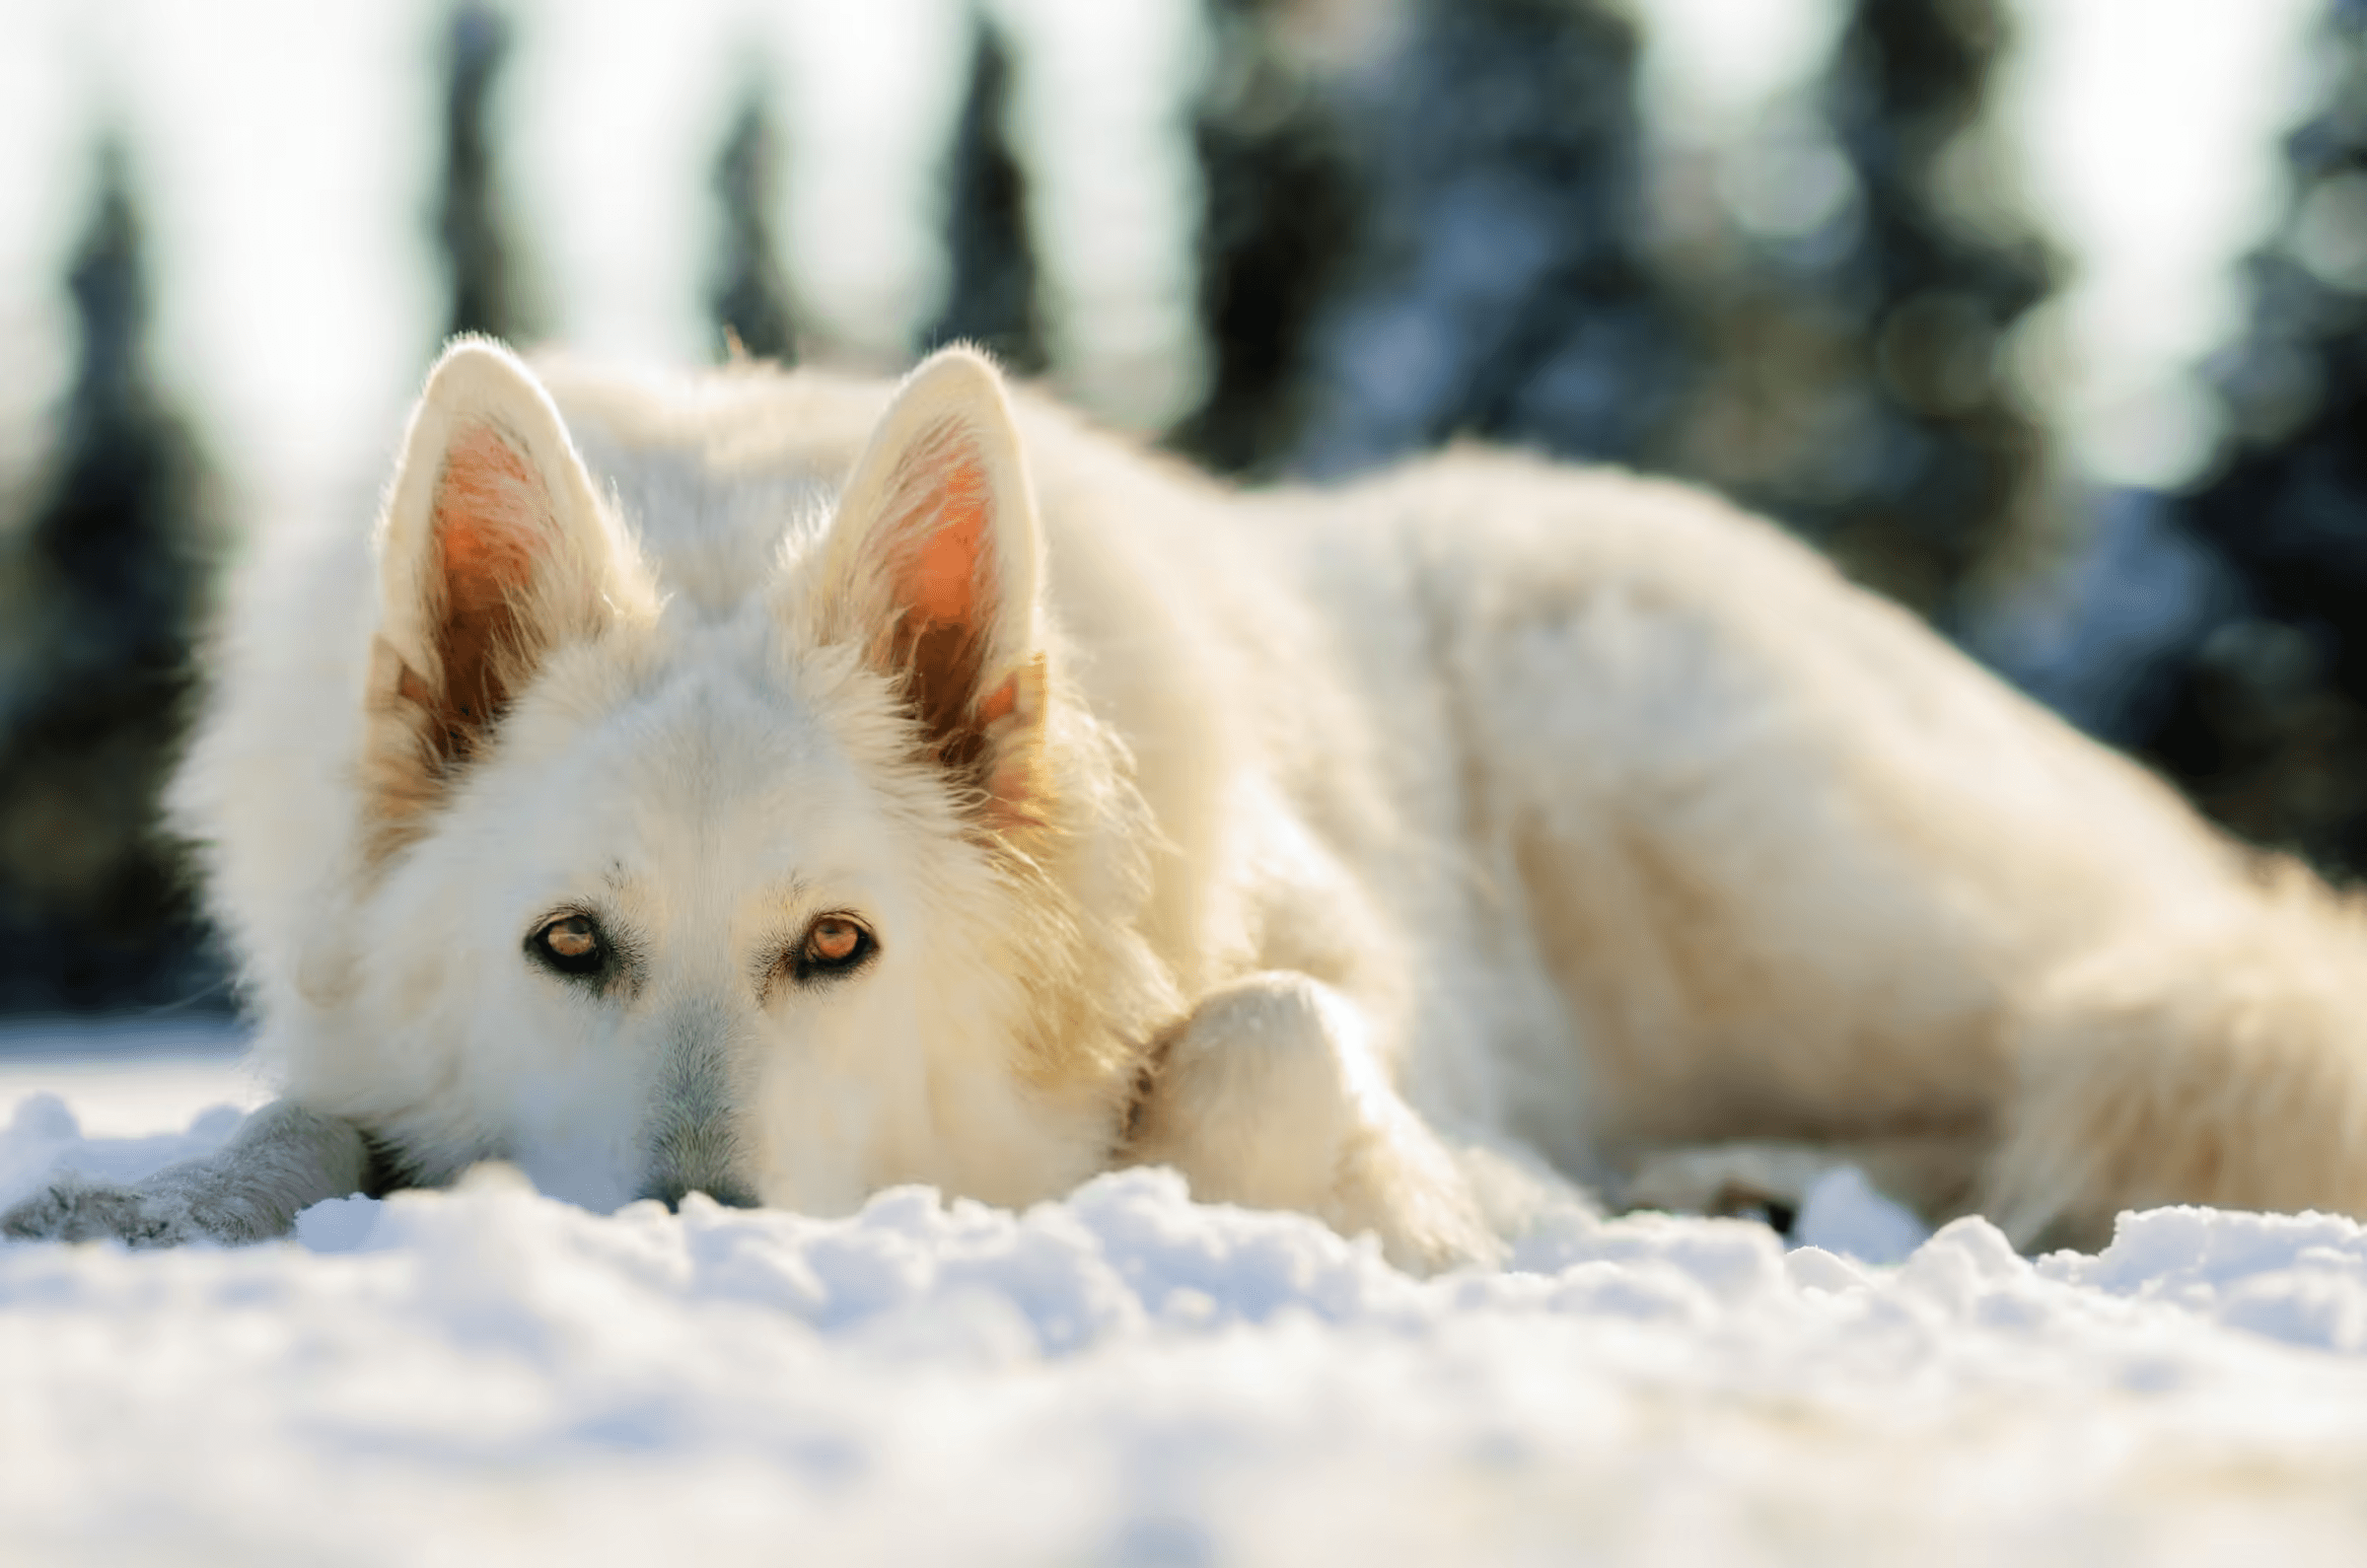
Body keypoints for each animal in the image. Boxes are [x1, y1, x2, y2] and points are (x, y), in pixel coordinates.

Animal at [10, 338, 2367, 1267]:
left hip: (1736, 832)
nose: (695, 1227)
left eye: (838, 947)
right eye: (565, 948)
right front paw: (137, 1207)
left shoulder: (1335, 1016)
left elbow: (1261, 1047)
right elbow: (305, 1127)